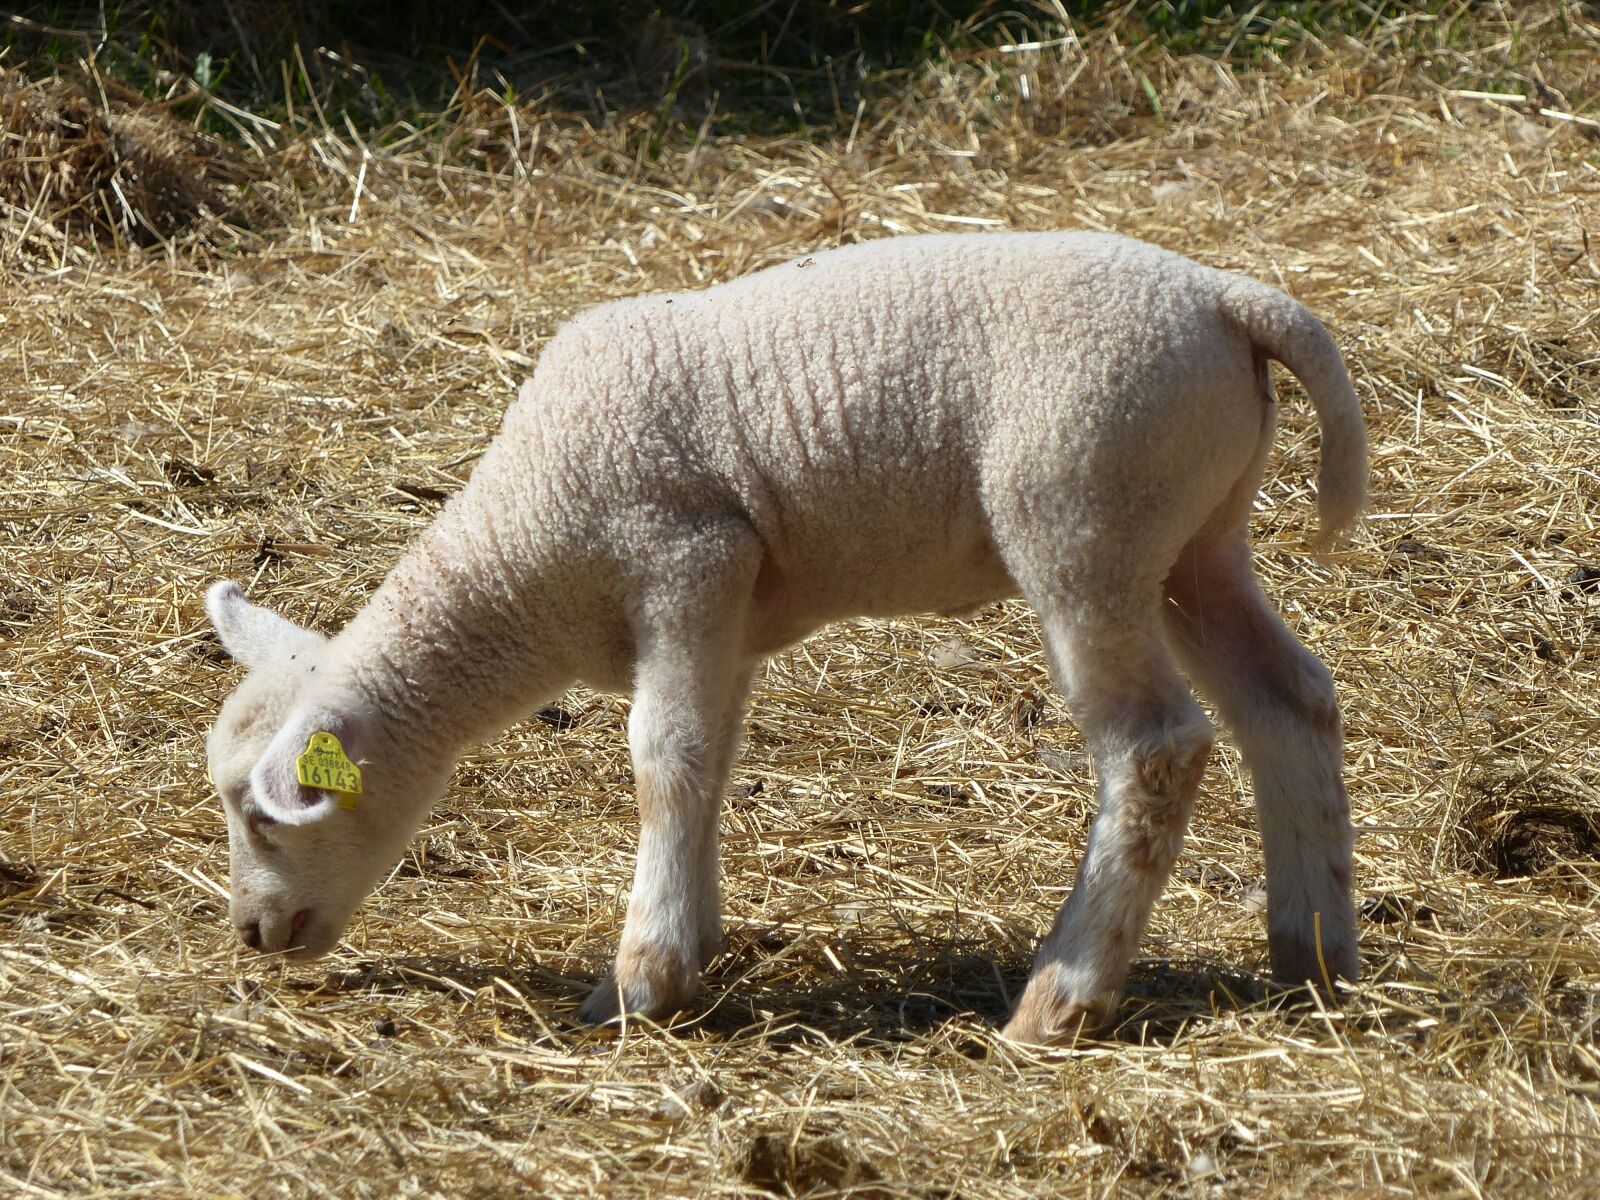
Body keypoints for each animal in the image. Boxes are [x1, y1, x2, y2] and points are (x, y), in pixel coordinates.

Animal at [204, 230, 1367, 1045]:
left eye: (265, 818)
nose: (253, 937)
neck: (525, 551)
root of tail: (1225, 300)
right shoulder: (731, 614)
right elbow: (709, 763)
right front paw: (691, 943)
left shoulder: (684, 558)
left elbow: (662, 760)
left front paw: (640, 980)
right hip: (1194, 537)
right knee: (1289, 700)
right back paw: (1313, 954)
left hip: (1084, 518)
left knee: (1155, 745)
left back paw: (1060, 1000)